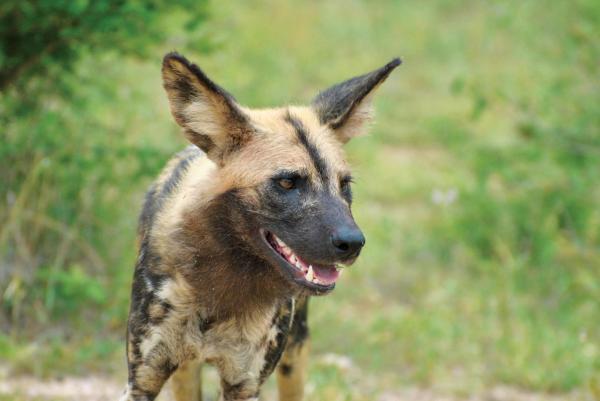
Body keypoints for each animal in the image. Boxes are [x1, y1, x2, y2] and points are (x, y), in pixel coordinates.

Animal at [122, 53, 400, 400]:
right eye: (287, 182)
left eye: (344, 185)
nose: (352, 243)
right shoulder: (143, 379)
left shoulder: (244, 383)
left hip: (294, 355)